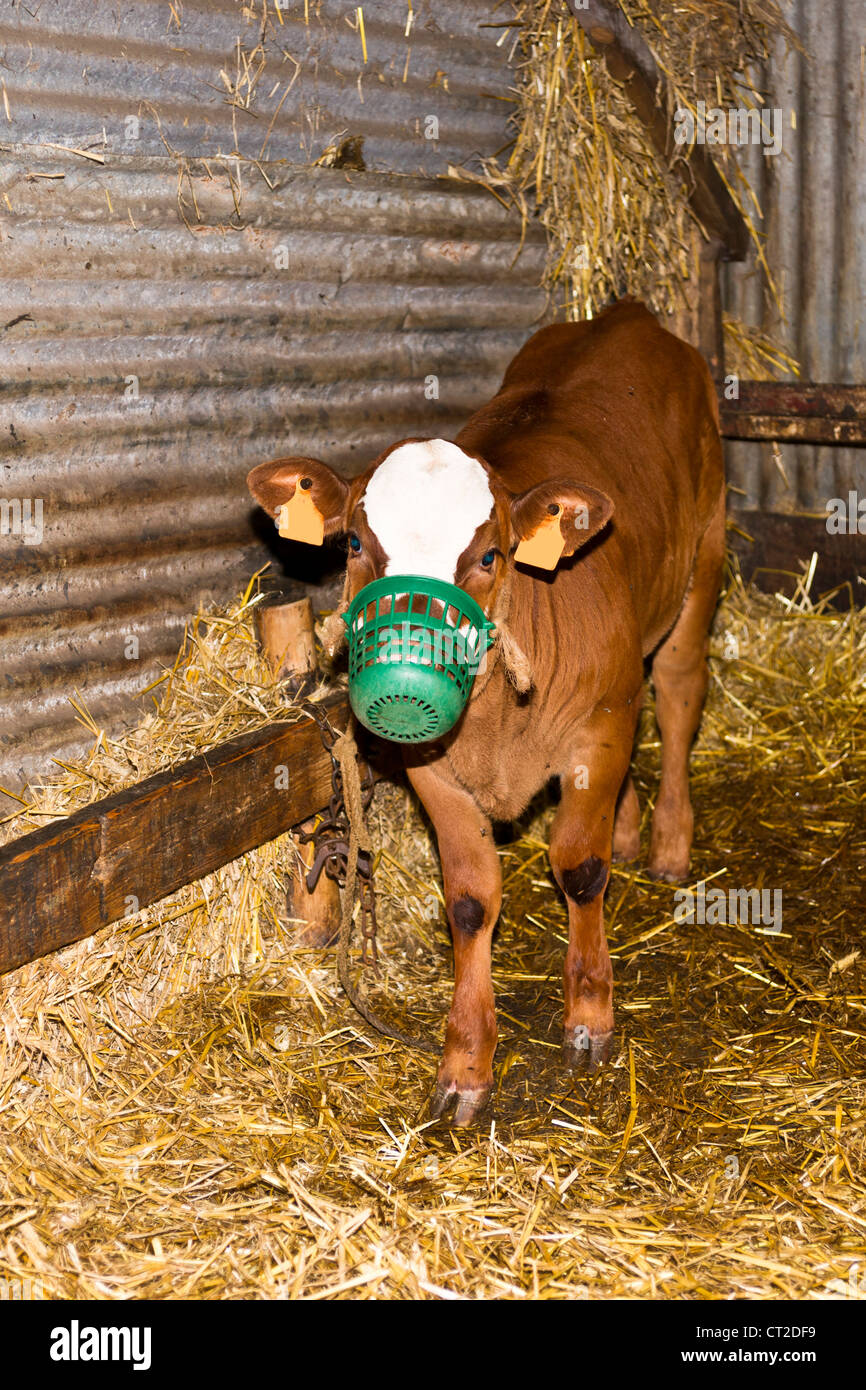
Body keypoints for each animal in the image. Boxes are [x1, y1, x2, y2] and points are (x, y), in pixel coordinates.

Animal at [248, 299, 725, 1124]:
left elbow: (581, 868)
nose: (410, 649)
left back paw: (667, 840)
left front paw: (590, 1018)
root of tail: (626, 312)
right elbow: (471, 902)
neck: (501, 727)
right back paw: (634, 827)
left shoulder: (597, 731)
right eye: (353, 542)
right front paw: (465, 1067)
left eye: (492, 554)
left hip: (705, 558)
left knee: (677, 692)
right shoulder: (434, 769)